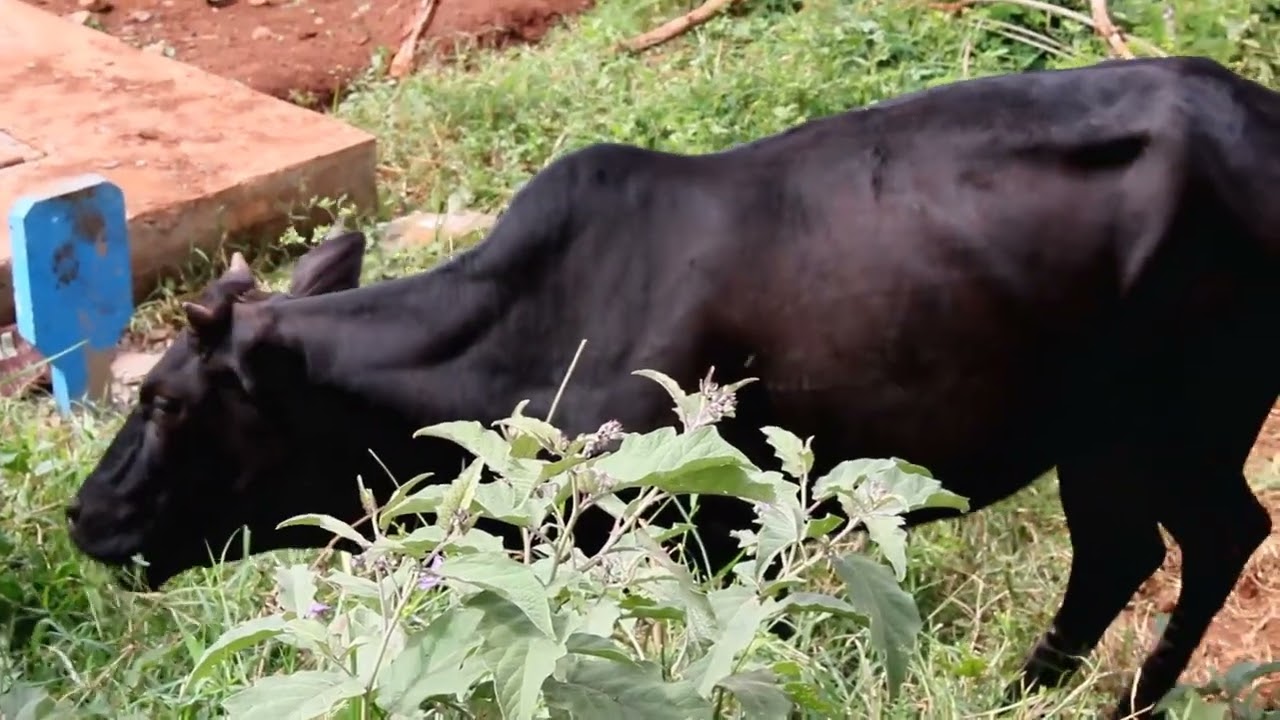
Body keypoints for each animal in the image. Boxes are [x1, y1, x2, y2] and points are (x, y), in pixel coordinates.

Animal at [65, 55, 1280, 719]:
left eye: (166, 401)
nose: (85, 513)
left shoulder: (694, 531)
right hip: (1121, 438)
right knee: (1145, 550)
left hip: (1160, 424)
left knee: (1196, 537)